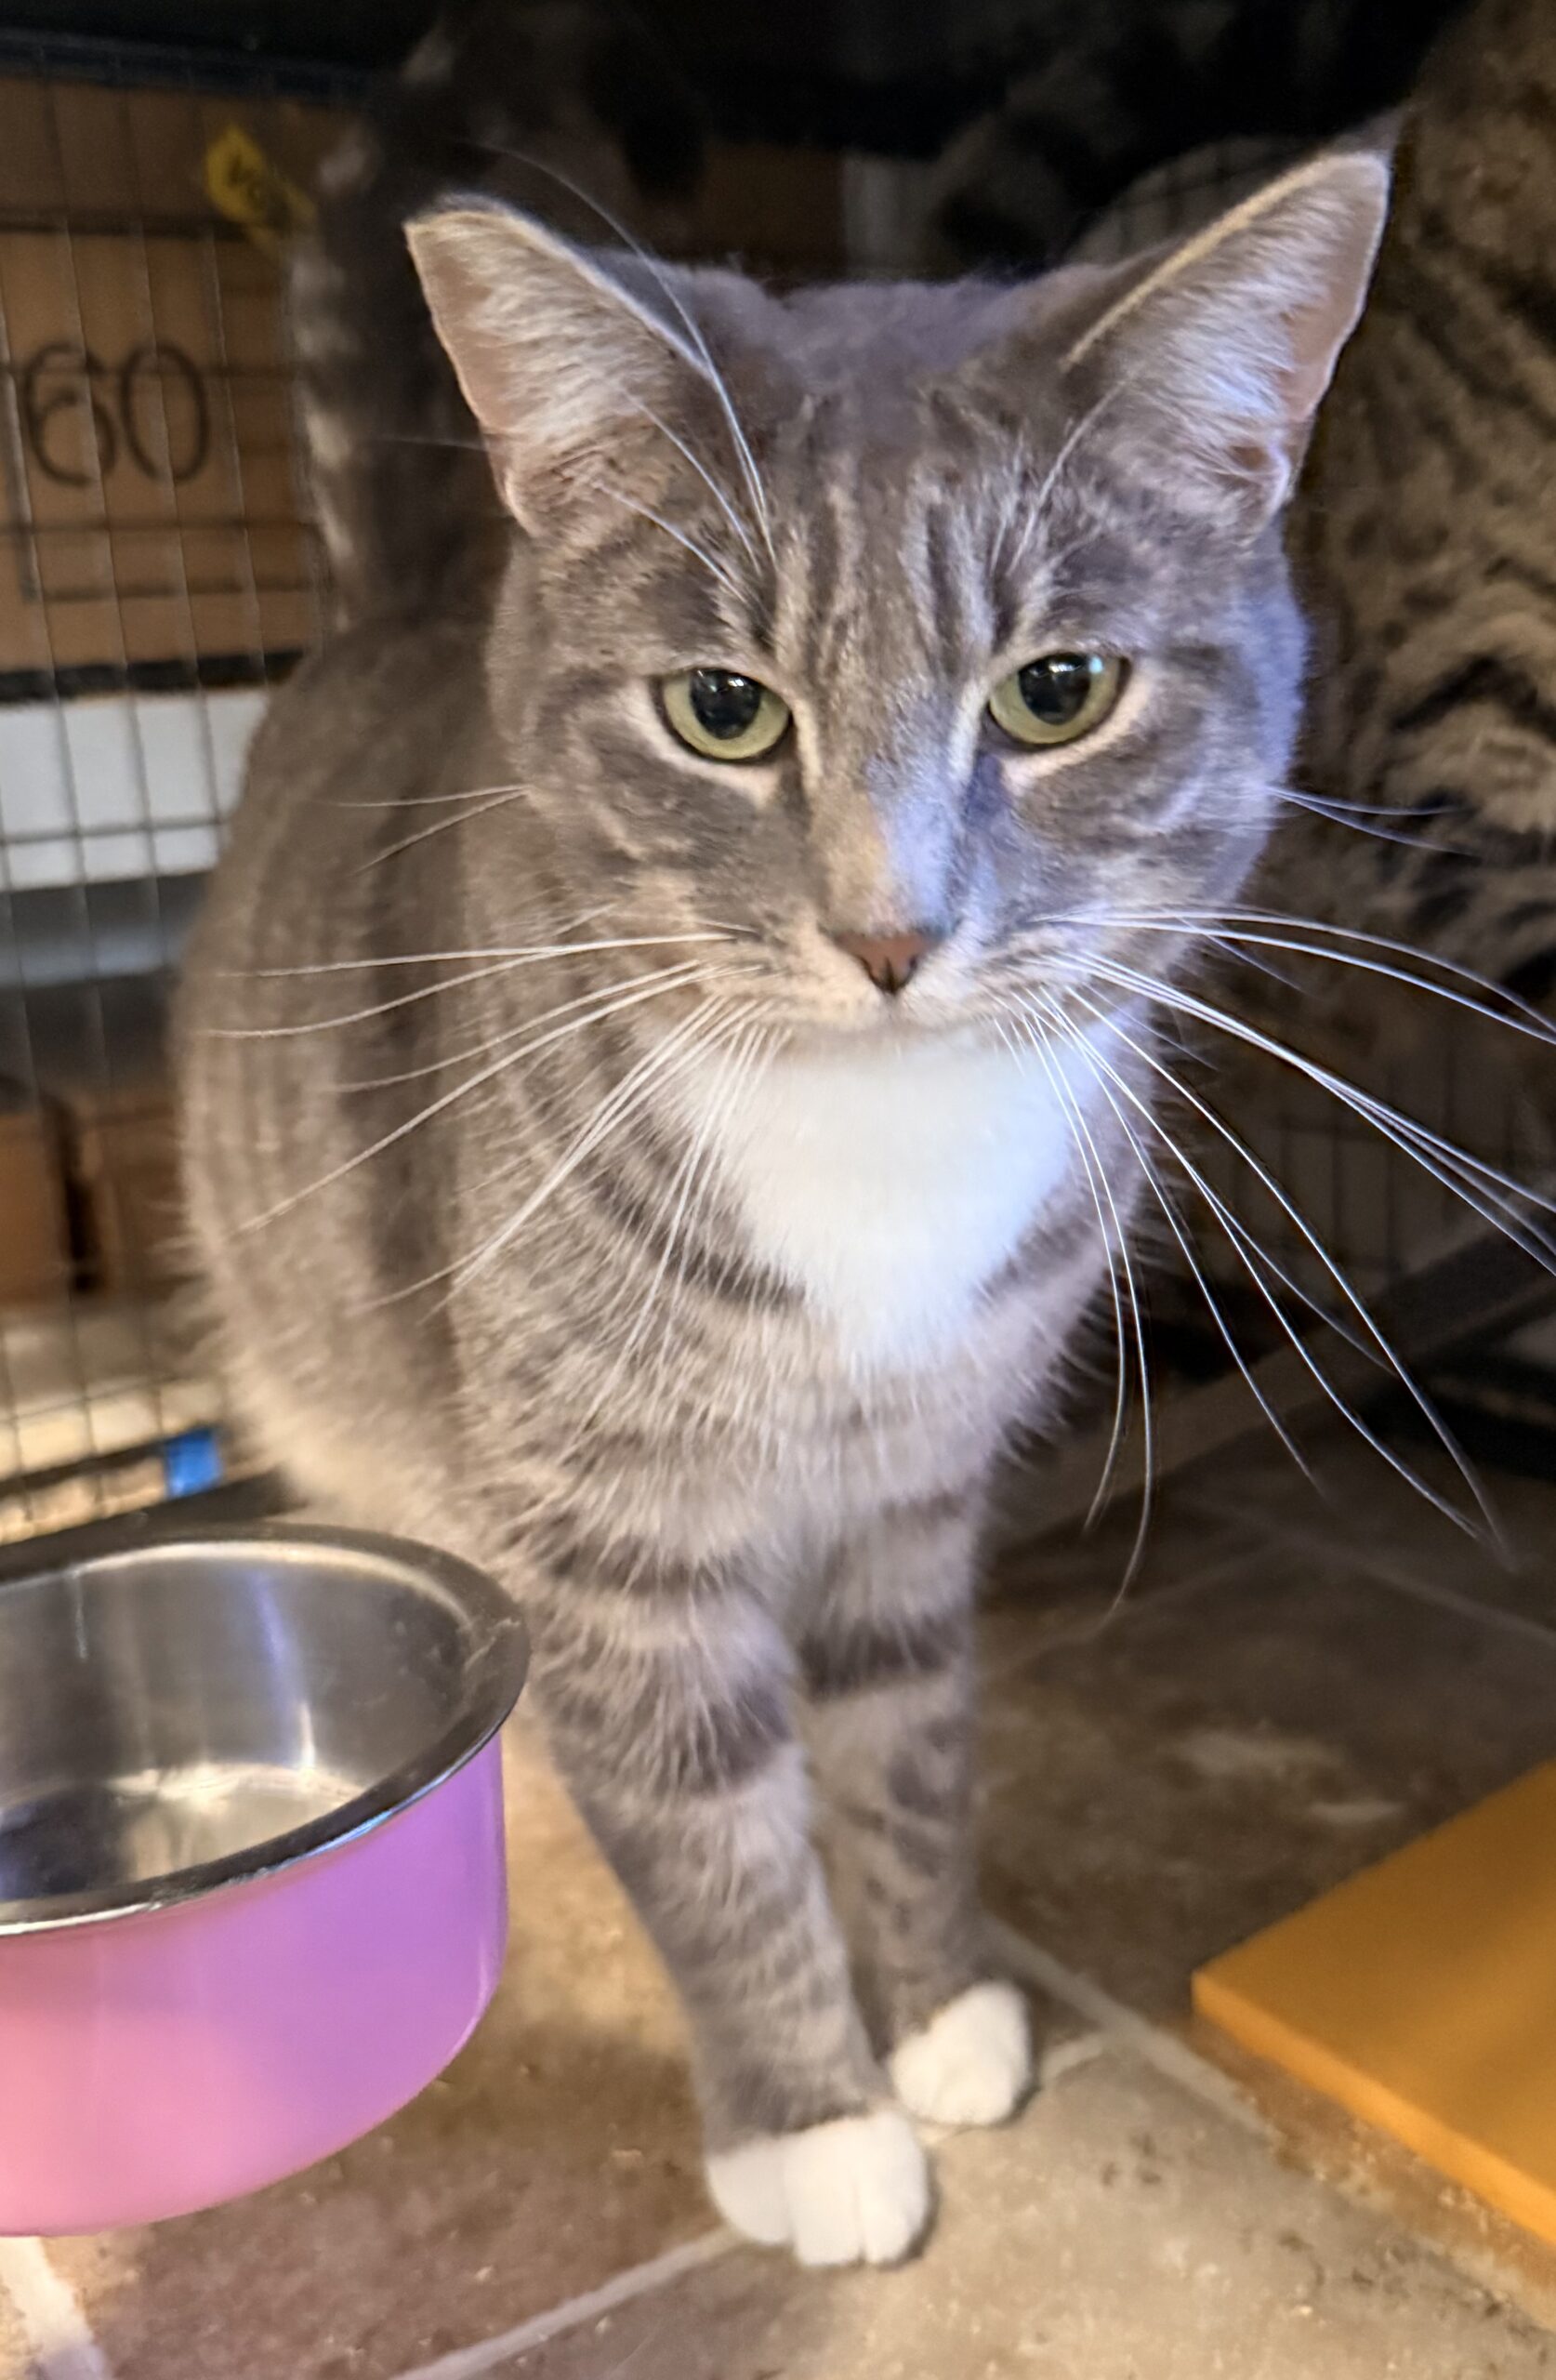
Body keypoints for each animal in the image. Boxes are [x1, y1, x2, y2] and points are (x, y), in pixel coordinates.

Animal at [176, 0, 1386, 2266]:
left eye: (1059, 690)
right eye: (722, 711)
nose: (890, 934)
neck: (881, 1154)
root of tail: (396, 596)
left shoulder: (918, 1487)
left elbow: (903, 1750)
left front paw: (936, 2013)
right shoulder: (614, 1540)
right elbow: (713, 1834)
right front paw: (813, 2120)